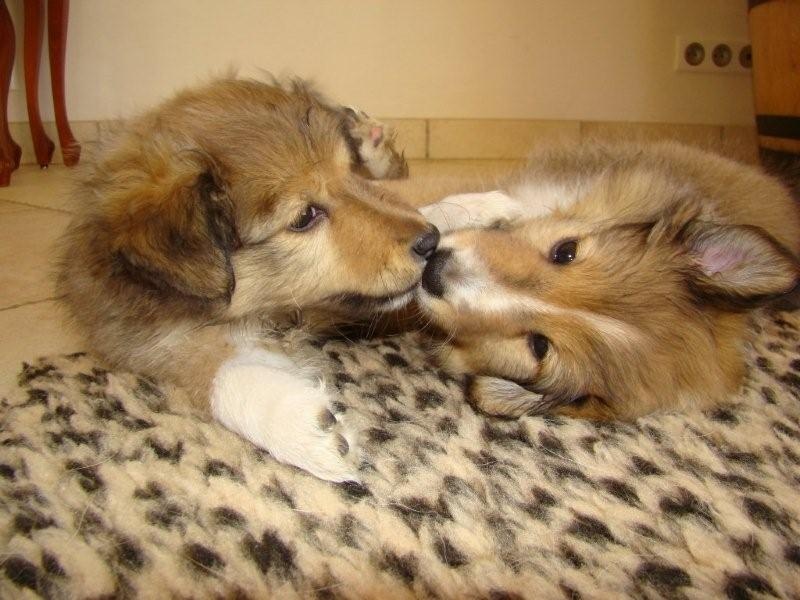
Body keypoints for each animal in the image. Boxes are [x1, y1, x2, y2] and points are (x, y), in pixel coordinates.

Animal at [57, 78, 438, 482]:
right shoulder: (136, 335)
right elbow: (205, 366)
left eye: (349, 172)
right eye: (304, 217)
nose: (432, 240)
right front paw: (302, 427)